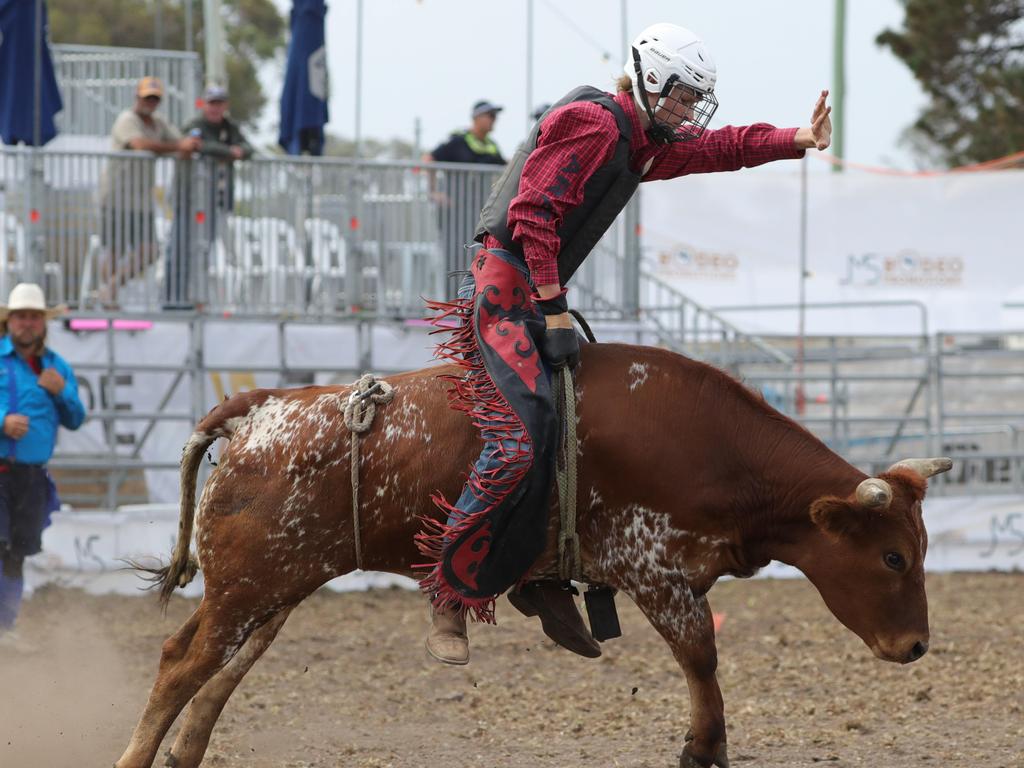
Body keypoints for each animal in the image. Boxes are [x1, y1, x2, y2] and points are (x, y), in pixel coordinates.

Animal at [114, 344, 950, 768]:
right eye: (892, 558)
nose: (915, 646)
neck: (708, 442)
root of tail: (261, 410)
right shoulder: (656, 570)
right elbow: (701, 658)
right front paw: (703, 748)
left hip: (278, 586)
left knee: (219, 675)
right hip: (246, 584)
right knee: (181, 663)